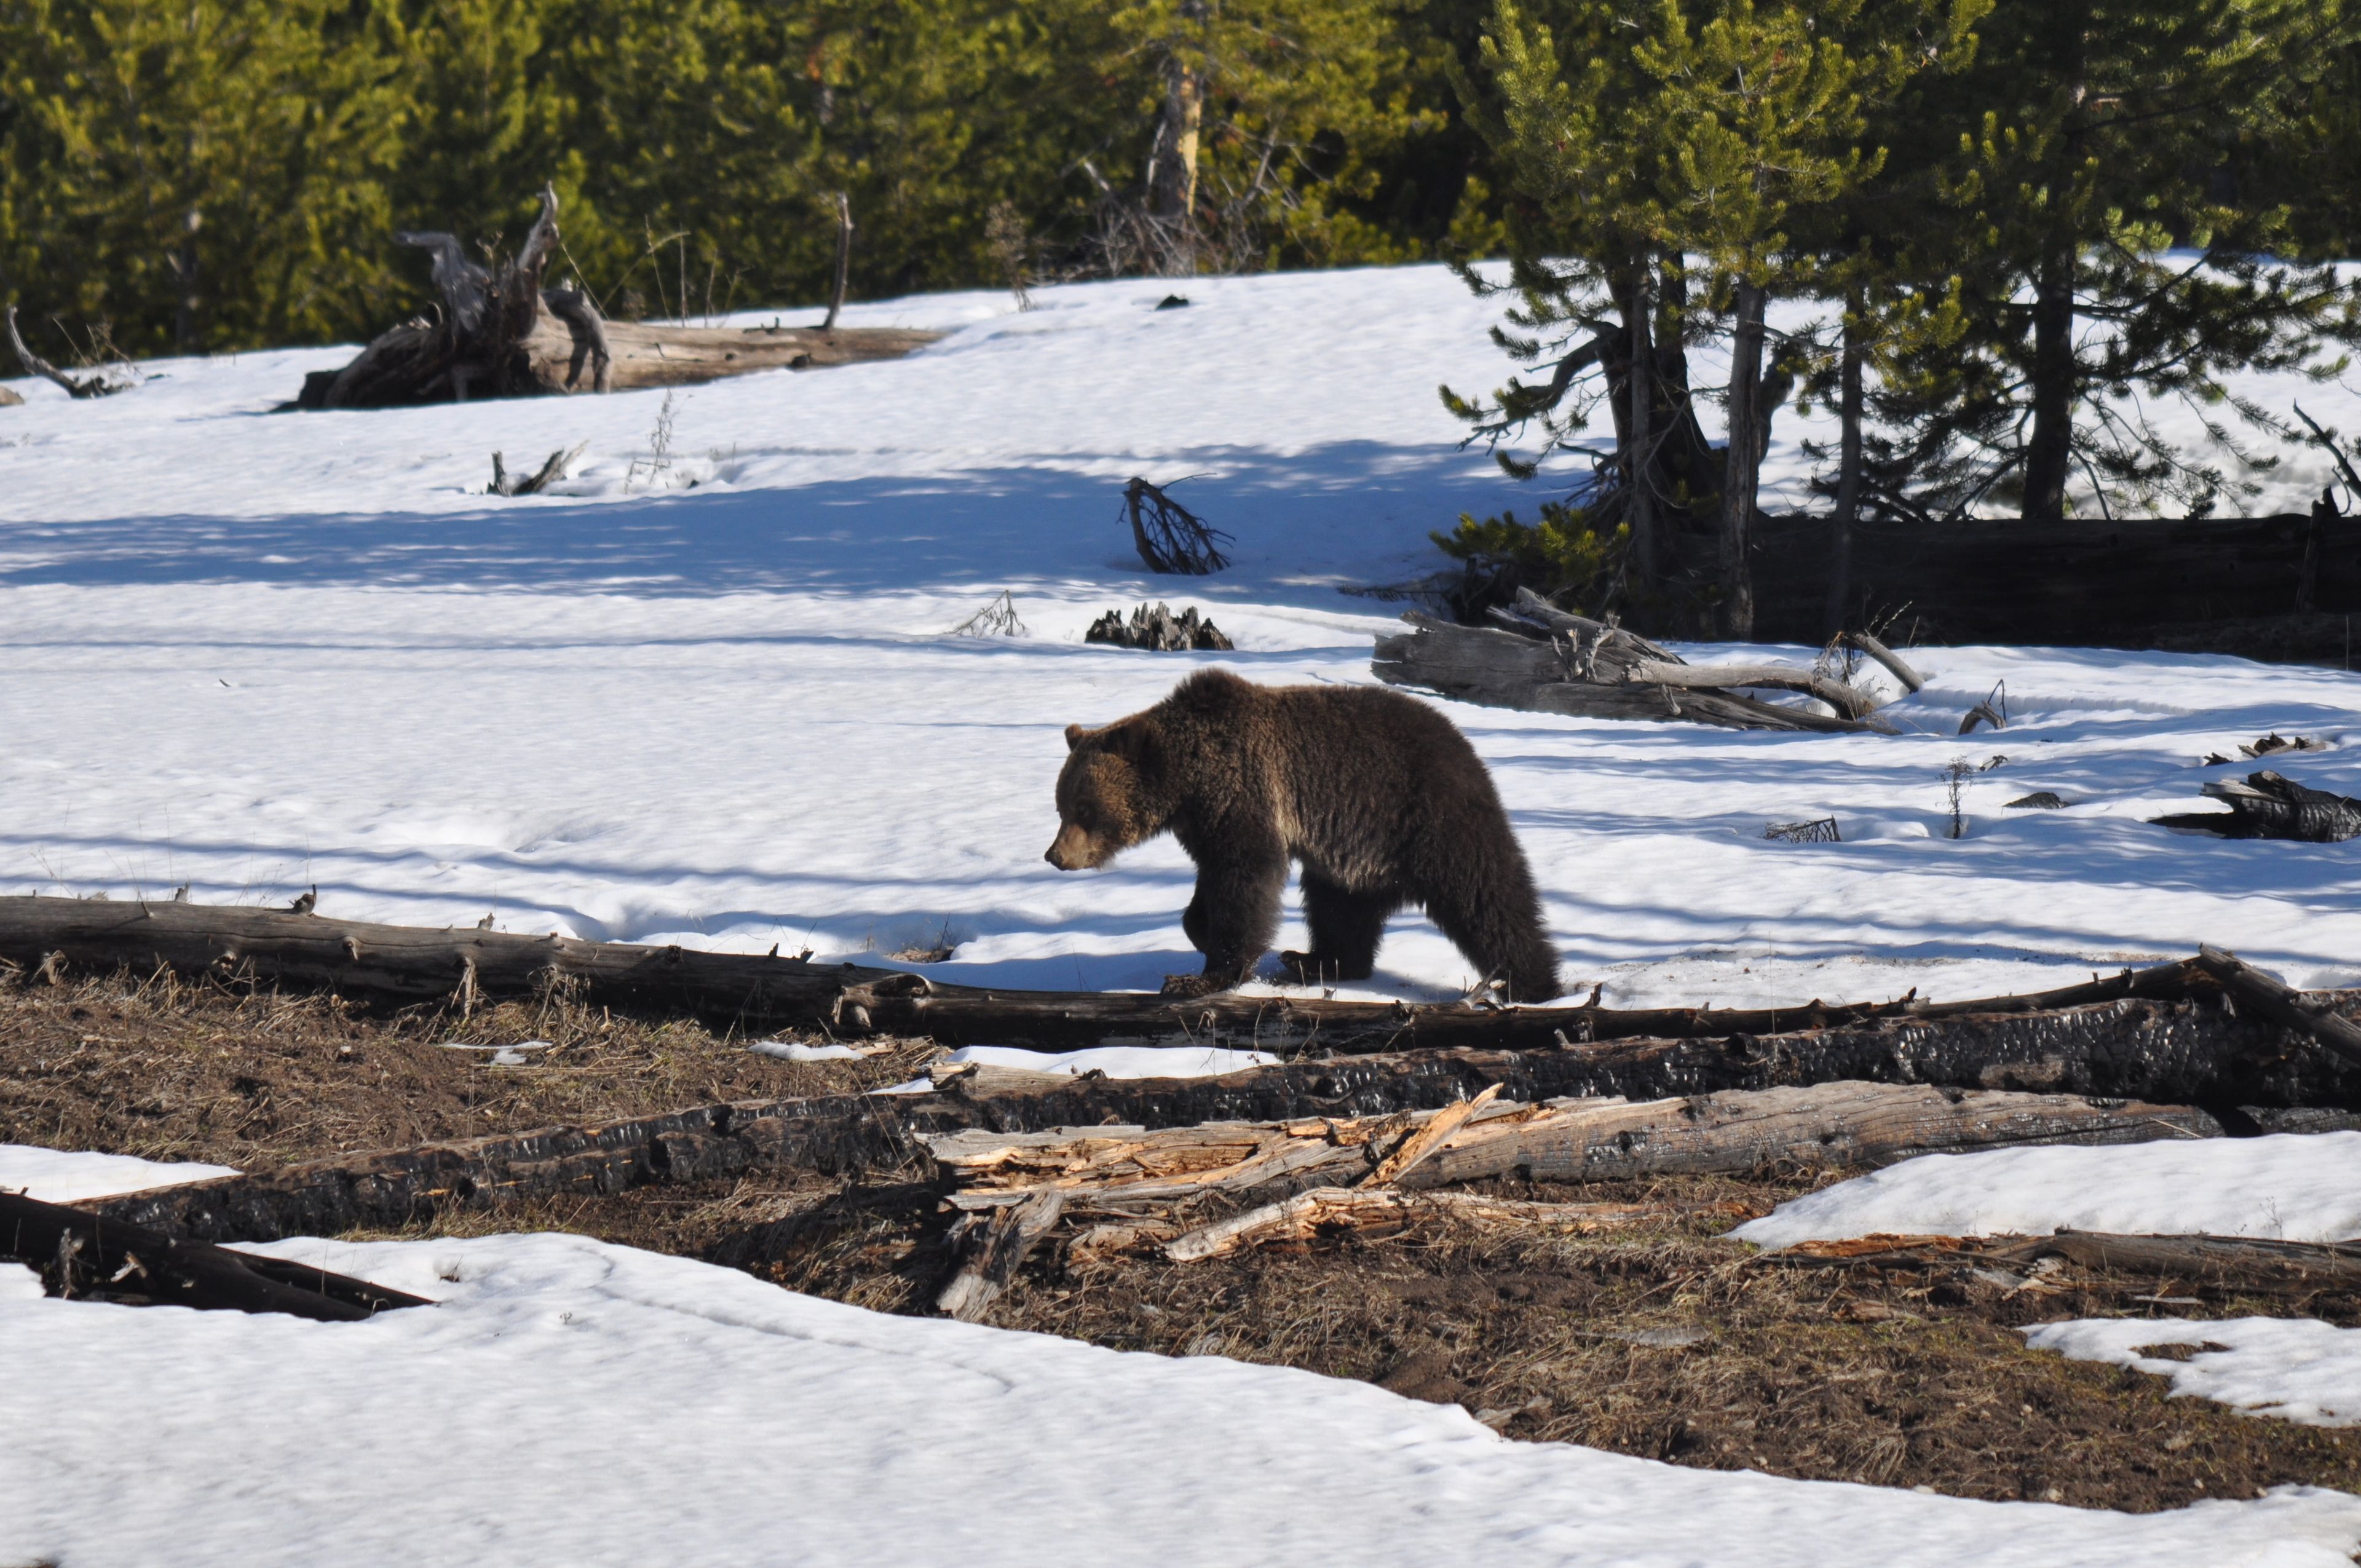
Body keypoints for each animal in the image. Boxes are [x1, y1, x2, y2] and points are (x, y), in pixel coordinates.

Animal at [1043, 668, 1561, 1001]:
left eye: (1085, 808)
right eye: (1061, 805)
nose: (1055, 856)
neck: (1188, 781)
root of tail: (1464, 743)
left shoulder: (1244, 793)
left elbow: (1247, 878)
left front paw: (1202, 976)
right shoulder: (1205, 823)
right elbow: (1212, 883)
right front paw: (1201, 933)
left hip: (1426, 813)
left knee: (1488, 894)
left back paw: (1535, 983)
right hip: (1355, 853)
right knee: (1339, 910)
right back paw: (1315, 960)